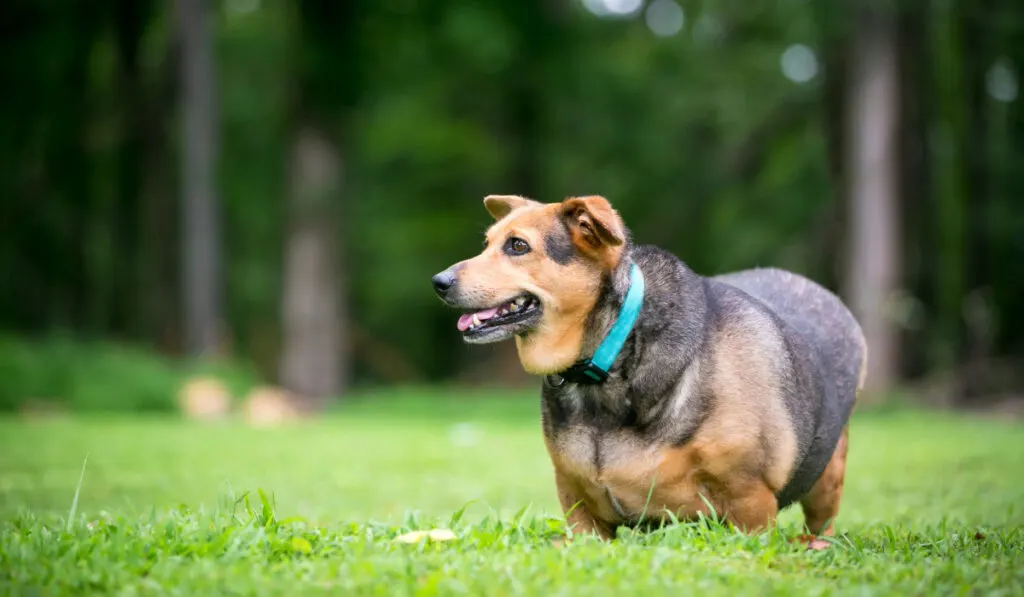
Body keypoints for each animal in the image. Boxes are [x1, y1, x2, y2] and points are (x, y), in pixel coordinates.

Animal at [430, 193, 864, 544]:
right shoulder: (580, 511)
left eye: (518, 246)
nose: (439, 281)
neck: (609, 358)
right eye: (487, 244)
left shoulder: (750, 504)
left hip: (828, 479)